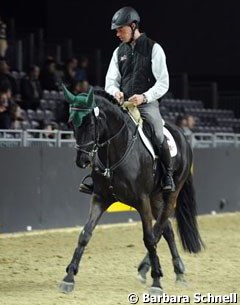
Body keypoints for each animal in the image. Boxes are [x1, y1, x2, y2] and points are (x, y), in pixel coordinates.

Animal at [59, 85, 203, 294]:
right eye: (71, 123)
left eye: (91, 124)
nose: (82, 160)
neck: (116, 152)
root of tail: (182, 135)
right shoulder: (100, 198)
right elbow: (85, 234)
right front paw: (69, 277)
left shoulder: (141, 201)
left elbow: (149, 238)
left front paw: (157, 282)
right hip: (155, 198)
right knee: (166, 229)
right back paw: (177, 271)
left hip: (170, 195)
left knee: (159, 230)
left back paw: (152, 269)